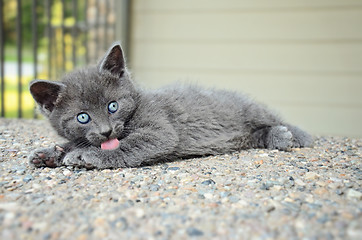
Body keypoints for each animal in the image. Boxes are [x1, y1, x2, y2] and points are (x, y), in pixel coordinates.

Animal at [28, 43, 312, 169]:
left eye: (112, 106)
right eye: (83, 117)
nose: (106, 131)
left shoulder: (159, 129)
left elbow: (126, 146)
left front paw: (85, 156)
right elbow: (74, 142)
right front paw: (50, 153)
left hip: (249, 109)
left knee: (274, 118)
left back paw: (292, 135)